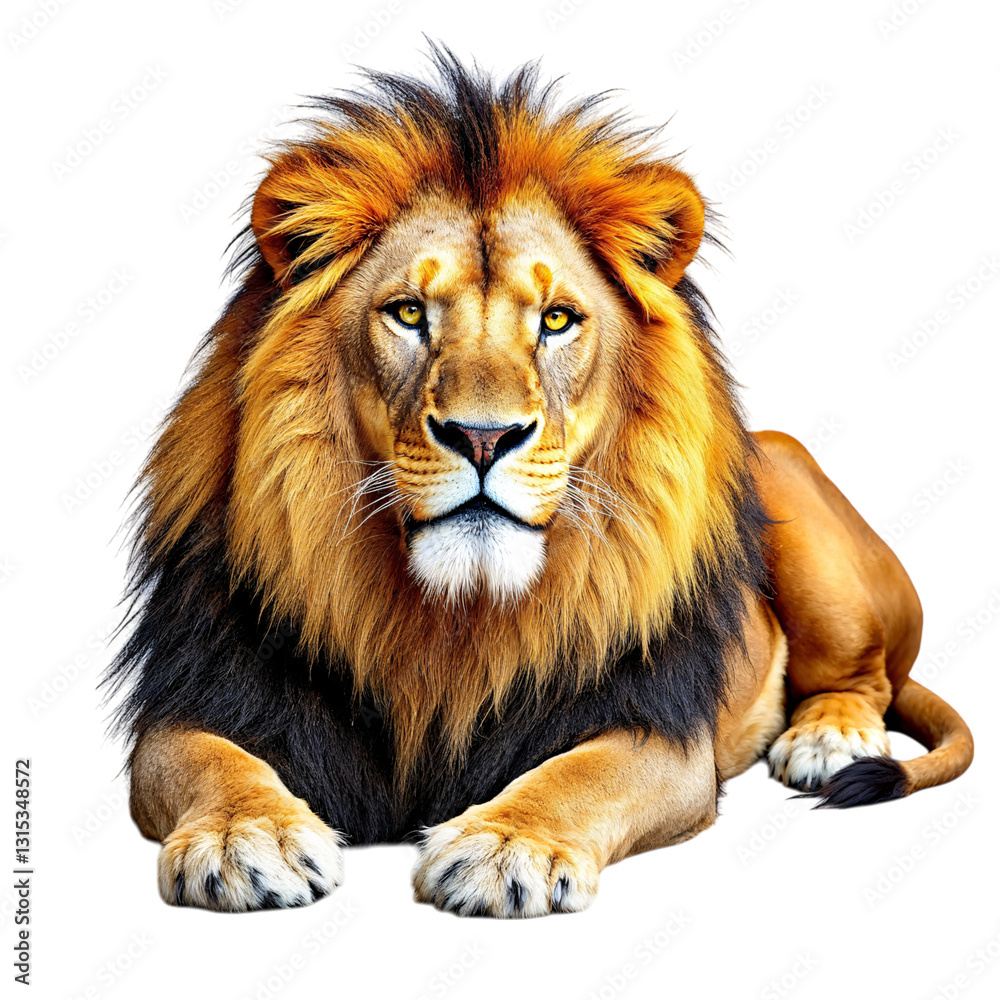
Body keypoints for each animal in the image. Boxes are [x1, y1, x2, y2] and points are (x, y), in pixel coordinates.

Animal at [106, 47, 973, 917]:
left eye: (556, 319)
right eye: (409, 313)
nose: (483, 437)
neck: (450, 623)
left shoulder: (654, 728)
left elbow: (577, 778)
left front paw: (504, 848)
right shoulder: (198, 695)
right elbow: (210, 761)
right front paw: (244, 837)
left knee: (863, 677)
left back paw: (829, 738)